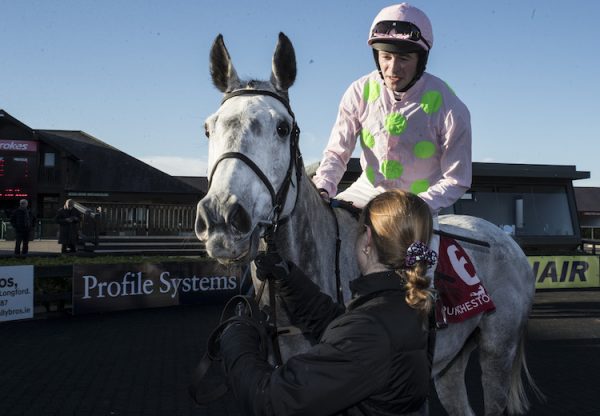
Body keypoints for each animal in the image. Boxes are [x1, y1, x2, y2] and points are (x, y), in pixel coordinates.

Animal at [195, 33, 540, 416]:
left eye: (282, 128)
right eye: (208, 128)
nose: (222, 216)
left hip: (498, 352)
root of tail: (509, 243)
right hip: (450, 363)